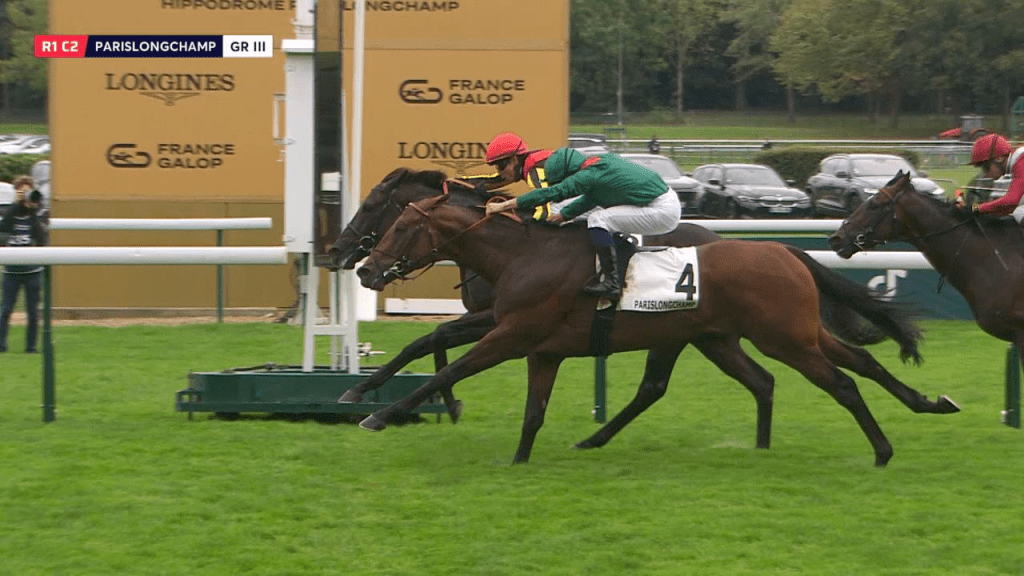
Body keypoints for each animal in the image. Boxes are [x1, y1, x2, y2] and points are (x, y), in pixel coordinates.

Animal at [328, 169, 950, 435]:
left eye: (379, 211)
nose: (352, 259)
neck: (518, 248)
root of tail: (780, 251)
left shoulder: (504, 325)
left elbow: (435, 344)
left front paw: (384, 403)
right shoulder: (499, 322)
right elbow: (432, 339)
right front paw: (379, 393)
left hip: (760, 333)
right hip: (725, 335)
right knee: (829, 365)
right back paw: (926, 402)